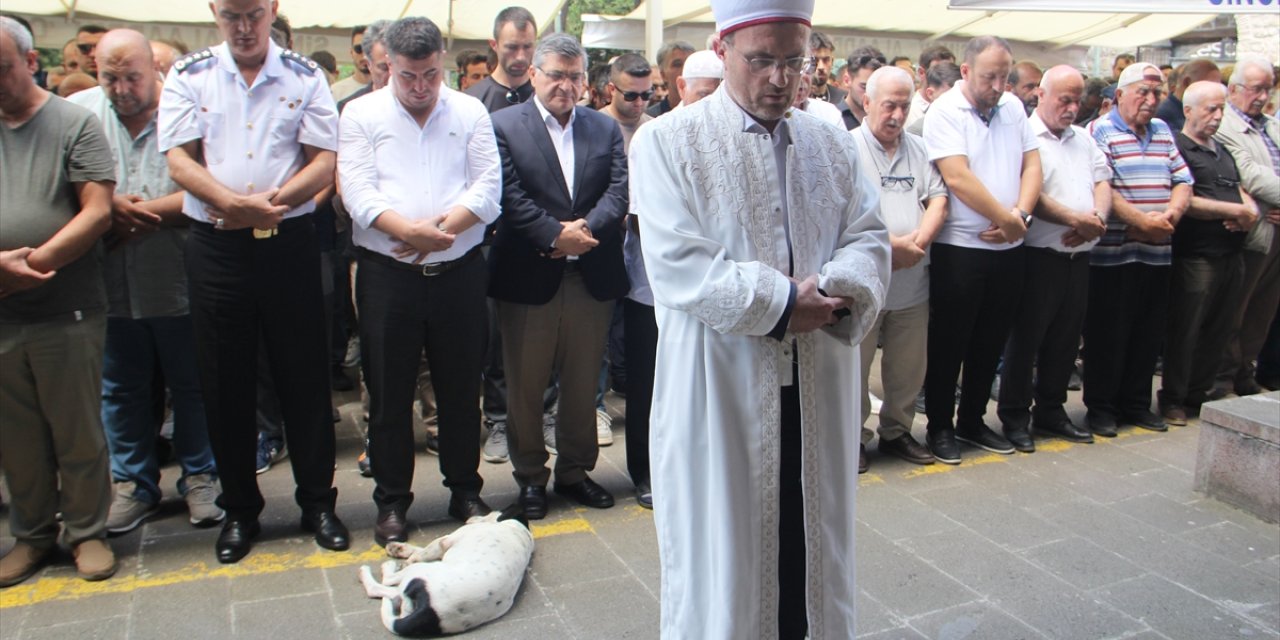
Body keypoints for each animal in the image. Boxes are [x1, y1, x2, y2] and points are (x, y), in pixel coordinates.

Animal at [360, 506, 535, 637]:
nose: (471, 516)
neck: (518, 527)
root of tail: (429, 612)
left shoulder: (446, 540)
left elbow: (425, 551)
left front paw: (406, 554)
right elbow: (421, 549)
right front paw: (400, 548)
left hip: (418, 573)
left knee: (385, 586)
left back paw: (375, 569)